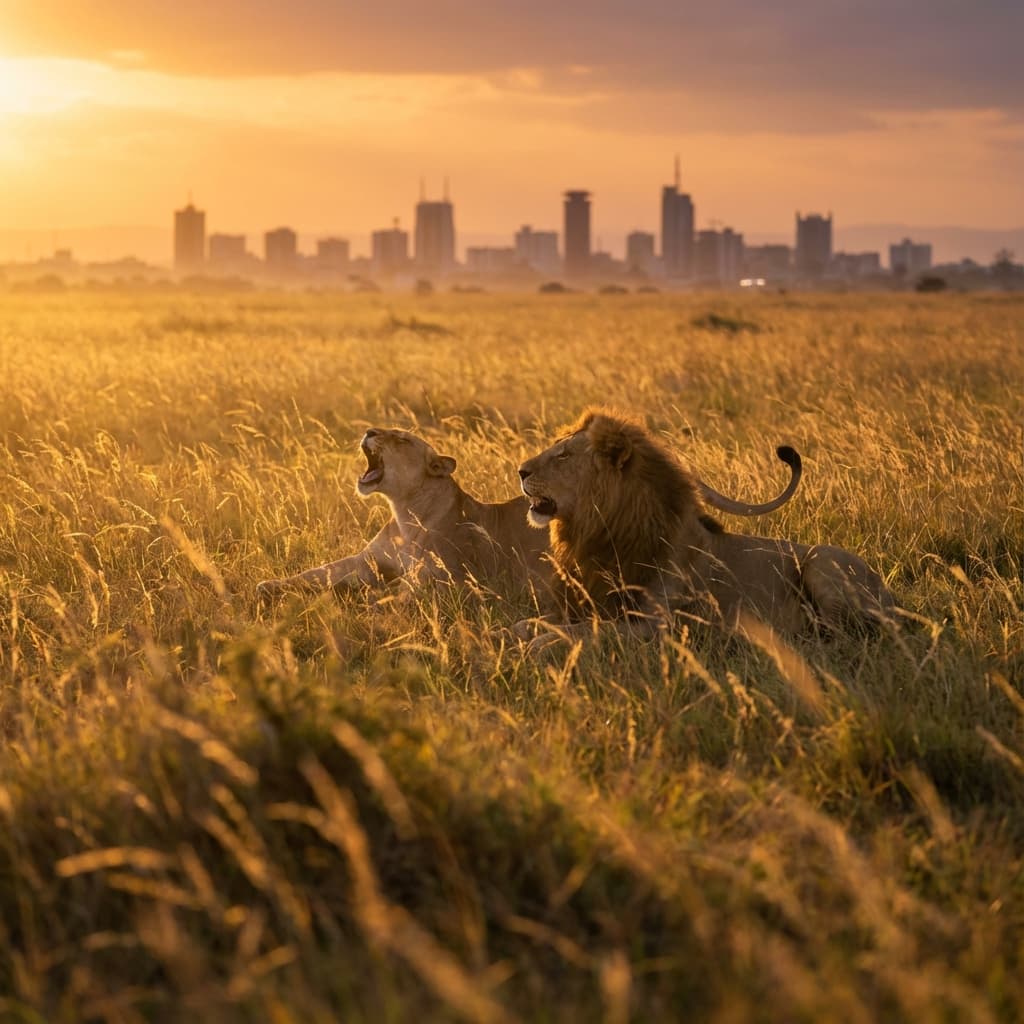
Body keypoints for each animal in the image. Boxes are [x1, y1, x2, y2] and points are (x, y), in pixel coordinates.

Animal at [517, 409, 894, 640]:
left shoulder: (654, 626)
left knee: (840, 634)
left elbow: (580, 633)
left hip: (821, 561)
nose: (520, 470)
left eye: (564, 455)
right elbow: (526, 625)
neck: (599, 532)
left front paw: (540, 647)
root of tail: (889, 591)